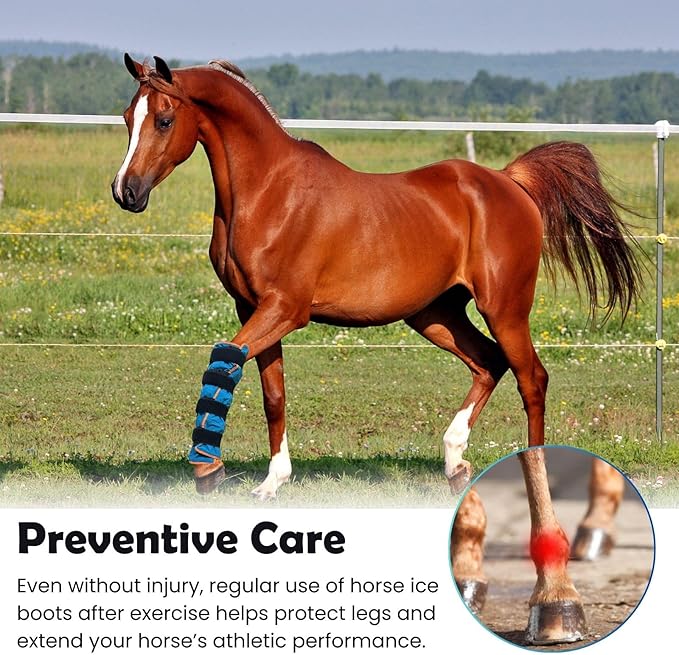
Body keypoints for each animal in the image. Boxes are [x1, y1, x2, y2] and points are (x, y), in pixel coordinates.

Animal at [112, 55, 641, 499]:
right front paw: (270, 483)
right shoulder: (253, 308)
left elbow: (223, 360)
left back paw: (535, 473)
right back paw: (455, 464)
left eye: (164, 119)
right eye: (127, 117)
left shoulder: (285, 309)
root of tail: (509, 182)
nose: (125, 192)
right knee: (489, 362)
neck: (268, 190)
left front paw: (208, 468)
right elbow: (271, 393)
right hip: (435, 314)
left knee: (531, 378)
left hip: (505, 307)